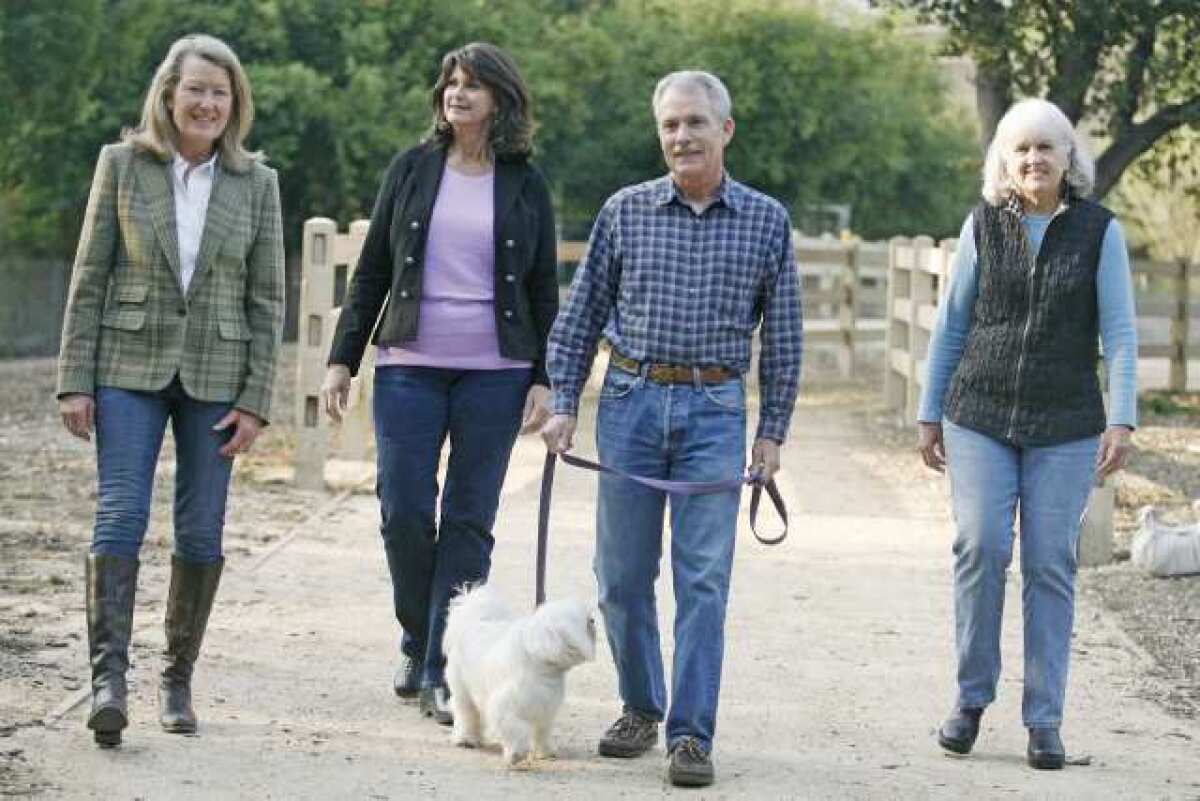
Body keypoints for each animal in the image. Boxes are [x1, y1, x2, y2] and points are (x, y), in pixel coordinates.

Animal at [446, 585, 595, 767]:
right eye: (583, 621)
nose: (593, 620)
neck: (539, 662)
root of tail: (472, 622)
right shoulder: (505, 709)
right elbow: (515, 730)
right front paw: (517, 754)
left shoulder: (545, 710)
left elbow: (542, 732)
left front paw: (545, 752)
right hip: (463, 692)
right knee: (466, 713)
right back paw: (466, 739)